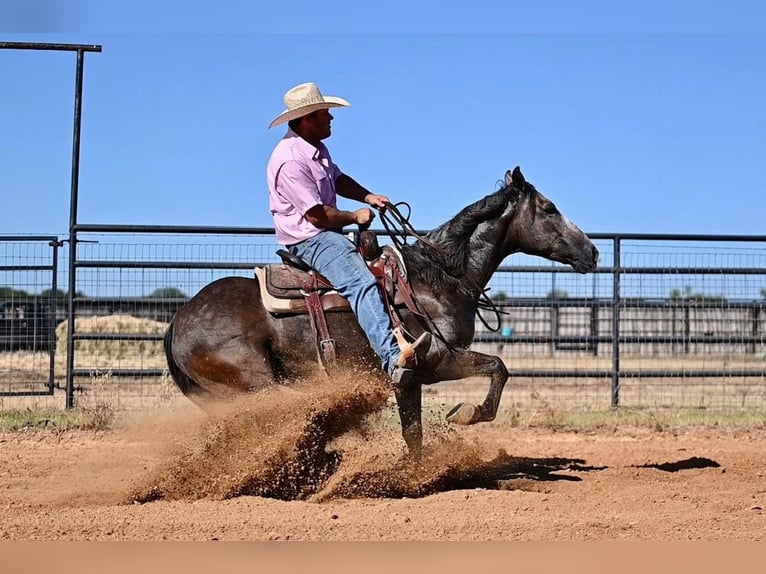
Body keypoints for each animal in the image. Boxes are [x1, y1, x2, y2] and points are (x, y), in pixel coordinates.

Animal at [165, 168, 604, 460]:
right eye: (549, 208)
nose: (593, 251)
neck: (438, 277)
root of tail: (178, 322)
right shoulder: (433, 362)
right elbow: (496, 368)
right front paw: (463, 417)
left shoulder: (416, 377)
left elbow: (418, 427)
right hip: (256, 388)